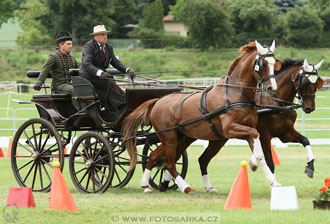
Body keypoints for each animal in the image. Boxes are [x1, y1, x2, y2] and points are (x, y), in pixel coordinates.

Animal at [124, 40, 282, 194]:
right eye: (263, 64)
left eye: (274, 63)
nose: (272, 88)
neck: (236, 93)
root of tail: (158, 101)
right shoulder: (231, 129)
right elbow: (257, 143)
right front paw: (254, 164)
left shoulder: (246, 130)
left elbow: (259, 153)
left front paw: (273, 181)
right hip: (169, 138)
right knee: (169, 163)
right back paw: (186, 188)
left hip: (179, 138)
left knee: (154, 157)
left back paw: (146, 185)